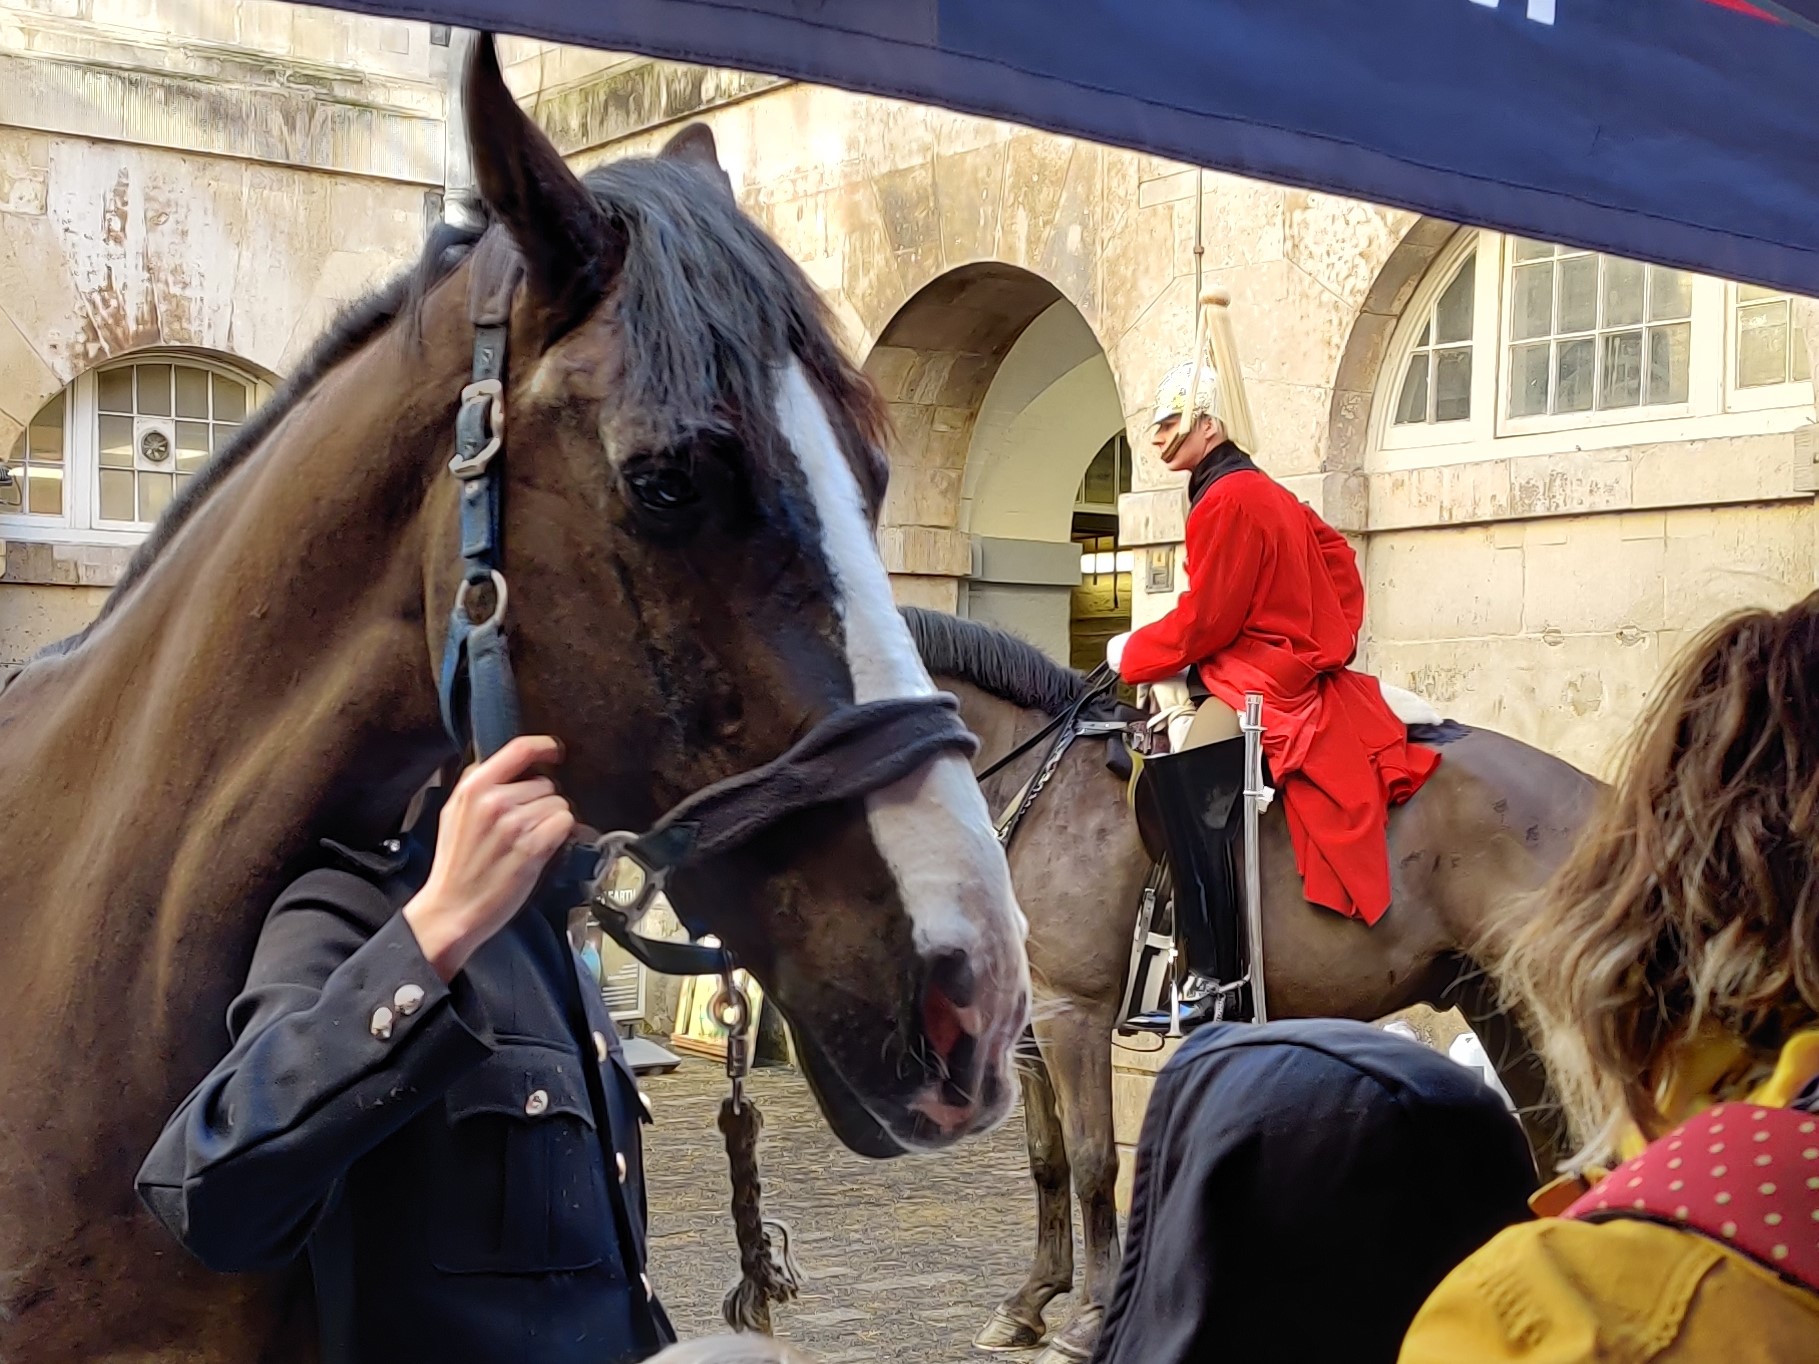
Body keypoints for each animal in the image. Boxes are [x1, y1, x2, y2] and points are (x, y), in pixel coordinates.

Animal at [902, 611, 1600, 1364]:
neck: (1037, 787)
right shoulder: (1029, 1025)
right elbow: (1046, 1158)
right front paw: (1029, 1302)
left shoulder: (1073, 1012)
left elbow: (1092, 1159)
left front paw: (1087, 1321)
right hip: (1494, 1001)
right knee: (1553, 1145)